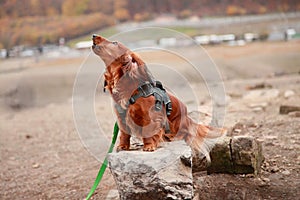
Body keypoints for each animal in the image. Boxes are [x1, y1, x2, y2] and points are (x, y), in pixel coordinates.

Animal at [91, 33, 225, 160]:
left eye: (114, 43)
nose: (94, 35)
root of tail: (188, 118)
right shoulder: (121, 117)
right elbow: (124, 134)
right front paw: (123, 146)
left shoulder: (151, 117)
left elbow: (149, 132)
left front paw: (149, 146)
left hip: (176, 124)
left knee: (185, 134)